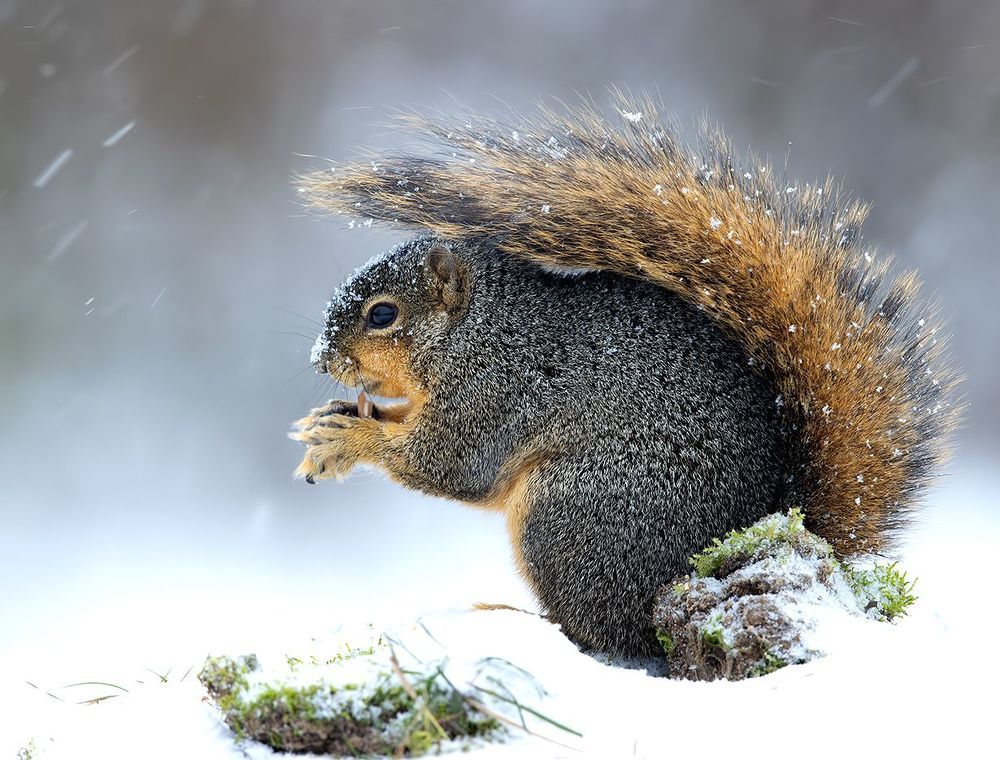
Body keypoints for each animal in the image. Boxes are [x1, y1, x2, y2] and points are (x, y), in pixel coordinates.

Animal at [289, 95, 961, 658]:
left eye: (383, 314)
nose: (322, 359)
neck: (478, 332)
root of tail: (767, 526)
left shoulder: (497, 393)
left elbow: (450, 465)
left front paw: (349, 439)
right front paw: (330, 422)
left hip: (570, 514)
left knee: (605, 636)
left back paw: (512, 617)